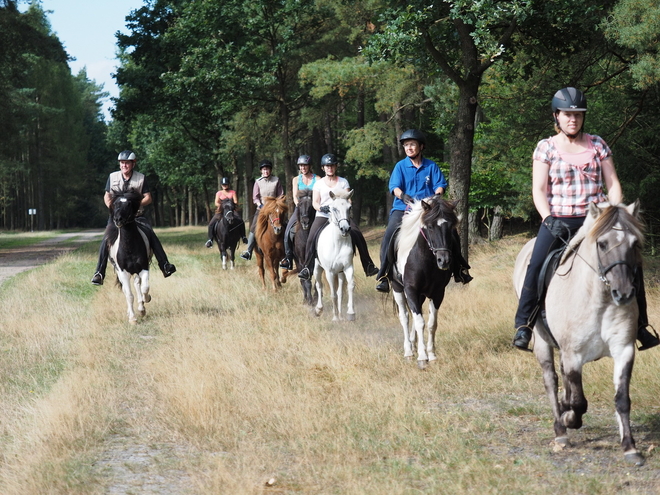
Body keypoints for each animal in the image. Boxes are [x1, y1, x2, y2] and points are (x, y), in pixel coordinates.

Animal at [107, 190, 153, 326]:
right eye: (115, 204)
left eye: (128, 204)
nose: (118, 219)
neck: (129, 246)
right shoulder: (123, 272)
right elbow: (129, 295)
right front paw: (132, 318)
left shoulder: (143, 267)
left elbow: (145, 288)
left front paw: (144, 302)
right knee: (127, 289)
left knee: (138, 284)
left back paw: (141, 307)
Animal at [390, 196, 456, 370]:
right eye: (430, 227)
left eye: (451, 227)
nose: (443, 260)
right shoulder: (410, 290)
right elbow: (420, 322)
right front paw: (422, 358)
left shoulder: (438, 293)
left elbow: (432, 323)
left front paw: (431, 355)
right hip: (397, 288)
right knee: (405, 317)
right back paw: (408, 351)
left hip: (421, 295)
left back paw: (414, 345)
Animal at [512, 201, 648, 464]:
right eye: (602, 243)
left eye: (634, 243)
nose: (624, 293)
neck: (598, 298)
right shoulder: (573, 354)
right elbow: (579, 401)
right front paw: (569, 419)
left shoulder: (624, 350)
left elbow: (622, 399)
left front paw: (630, 447)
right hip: (542, 343)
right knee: (552, 380)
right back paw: (560, 431)